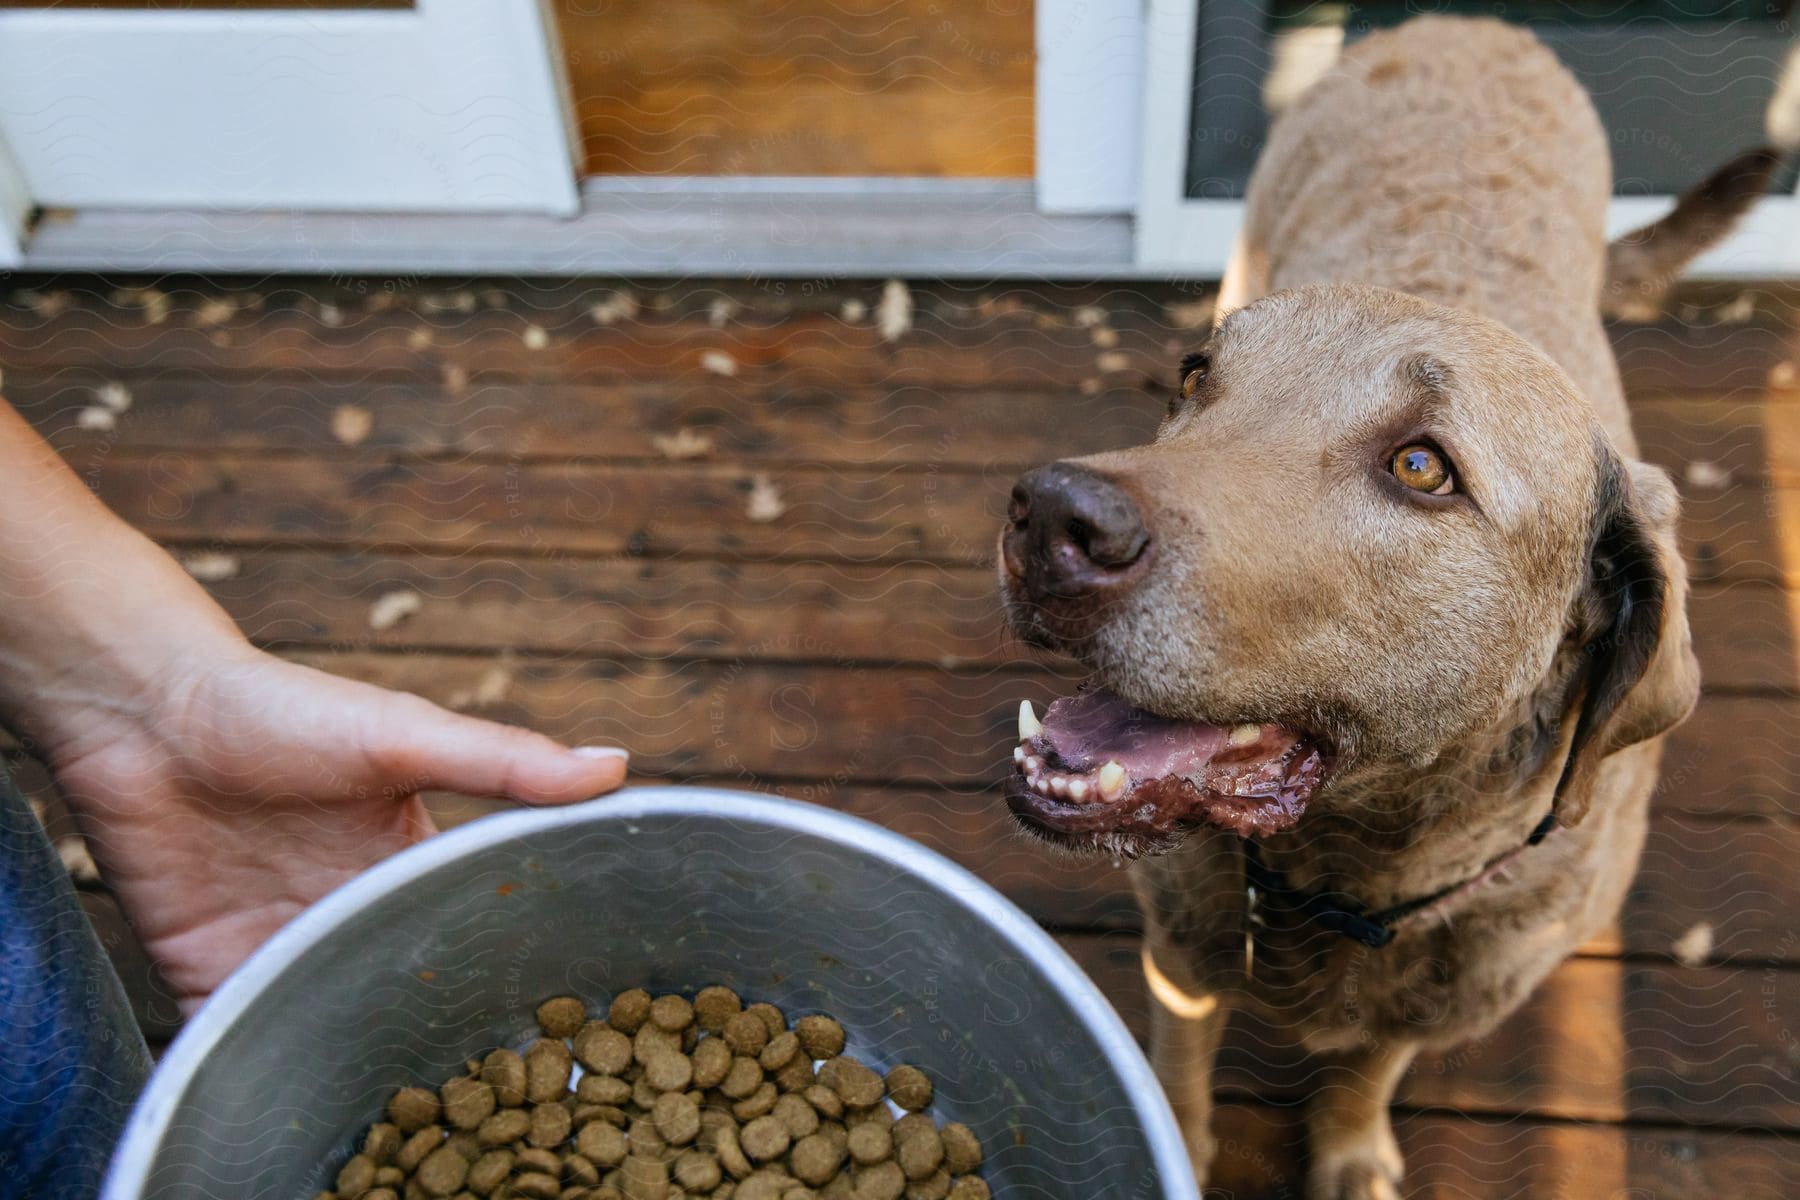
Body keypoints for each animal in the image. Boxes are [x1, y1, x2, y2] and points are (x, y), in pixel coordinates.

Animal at [1000, 18, 1785, 1200]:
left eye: (1422, 467)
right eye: (1196, 379)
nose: (1046, 520)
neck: (1348, 870)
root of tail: (1468, 25)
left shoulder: (1440, 993)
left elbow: (1372, 1063)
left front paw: (1352, 1146)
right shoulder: (1181, 956)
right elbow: (1176, 1075)